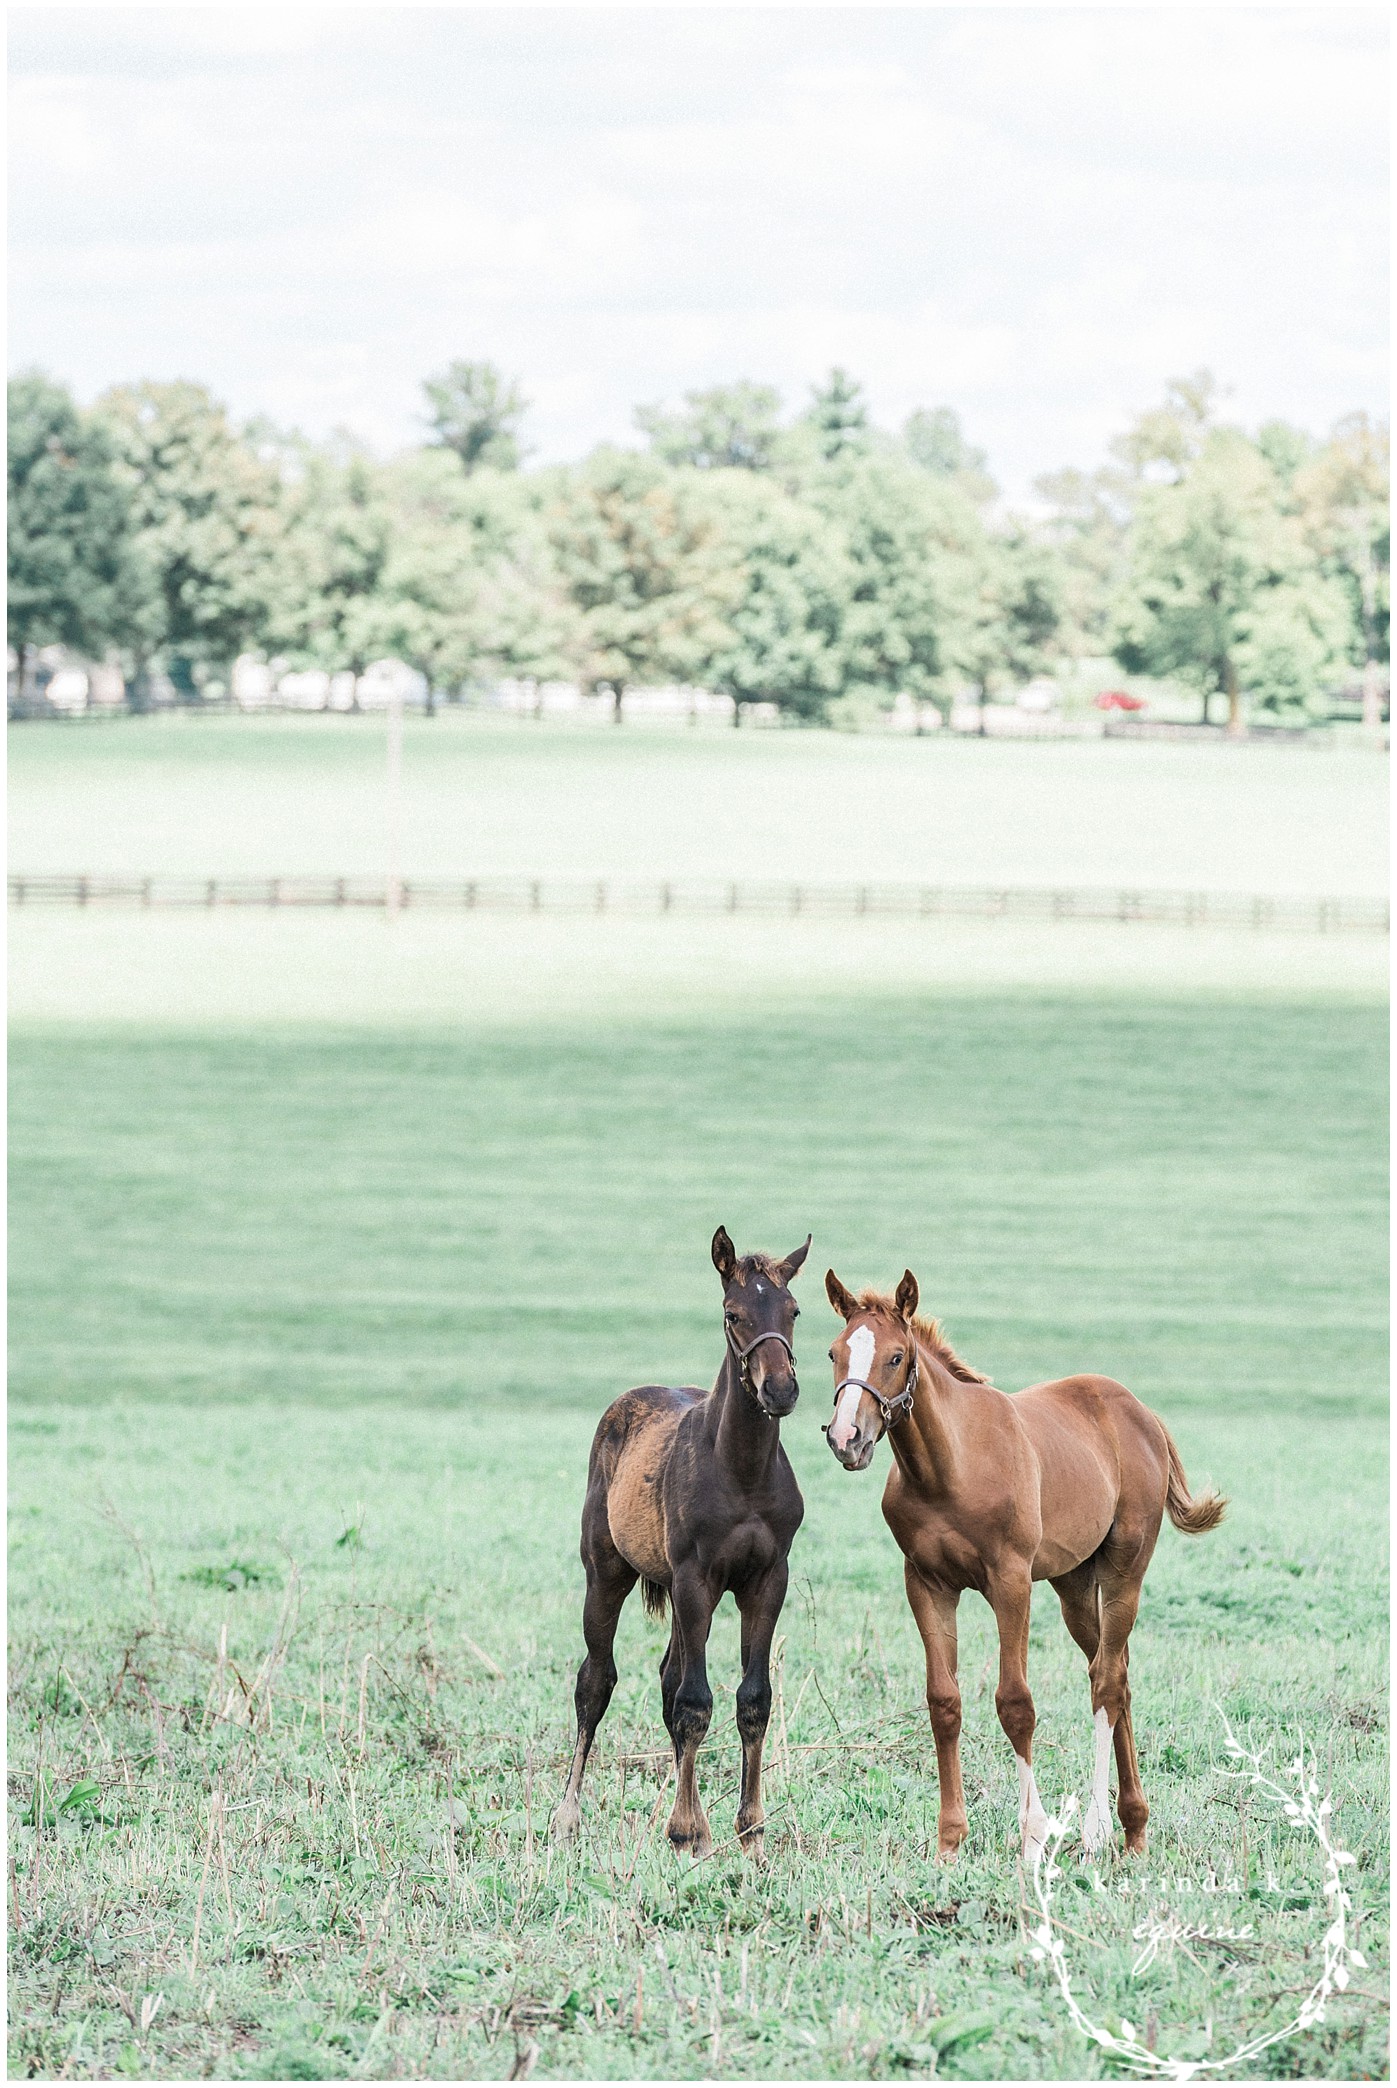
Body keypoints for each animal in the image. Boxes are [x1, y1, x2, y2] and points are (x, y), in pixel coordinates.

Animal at [552, 1227, 810, 1862]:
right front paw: (689, 1830)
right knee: (597, 1680)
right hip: (607, 1573)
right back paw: (567, 1817)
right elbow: (694, 1702)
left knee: (669, 1676)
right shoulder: (697, 1577)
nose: (780, 1389)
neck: (741, 1473)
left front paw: (750, 1829)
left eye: (793, 1310)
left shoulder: (767, 1579)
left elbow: (752, 1700)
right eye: (732, 1313)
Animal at [822, 1267, 1225, 1863]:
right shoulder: (926, 1583)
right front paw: (949, 1843)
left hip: (1124, 1569)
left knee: (1106, 1682)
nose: (846, 1438)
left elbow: (1015, 1704)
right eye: (834, 1352)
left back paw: (1097, 1829)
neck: (950, 1467)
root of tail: (1140, 1413)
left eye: (895, 1356)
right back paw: (1134, 1829)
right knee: (1115, 1672)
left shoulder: (1010, 1583)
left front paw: (1033, 1836)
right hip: (1073, 1585)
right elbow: (944, 1702)